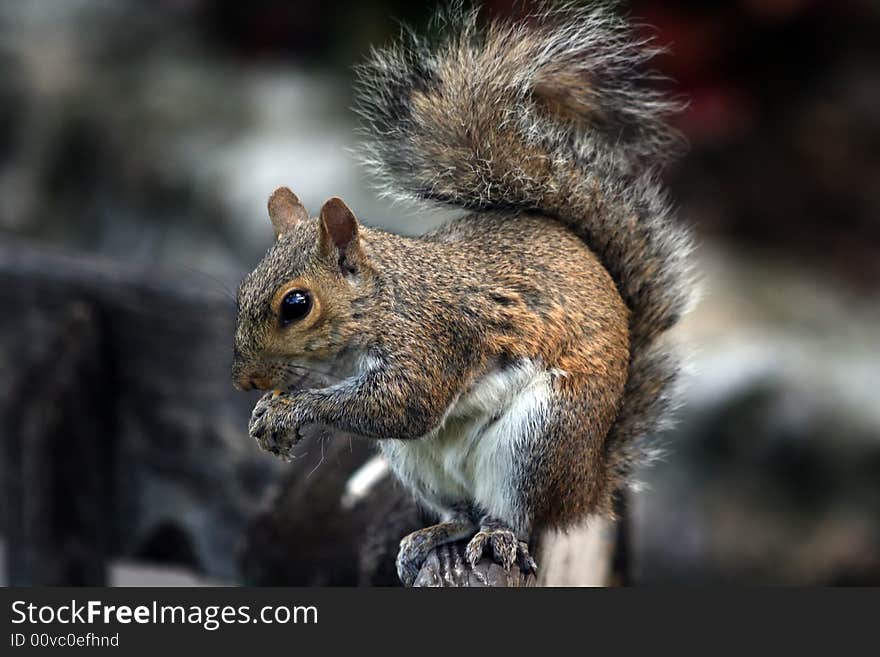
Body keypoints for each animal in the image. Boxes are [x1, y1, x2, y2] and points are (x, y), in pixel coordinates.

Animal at [232, 2, 696, 588]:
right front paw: (270, 409)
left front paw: (295, 410)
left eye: (296, 305)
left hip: (539, 438)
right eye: (243, 289)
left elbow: (405, 404)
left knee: (511, 516)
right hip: (417, 464)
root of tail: (585, 488)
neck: (385, 300)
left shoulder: (434, 340)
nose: (245, 381)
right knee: (460, 513)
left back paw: (498, 536)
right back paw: (432, 536)